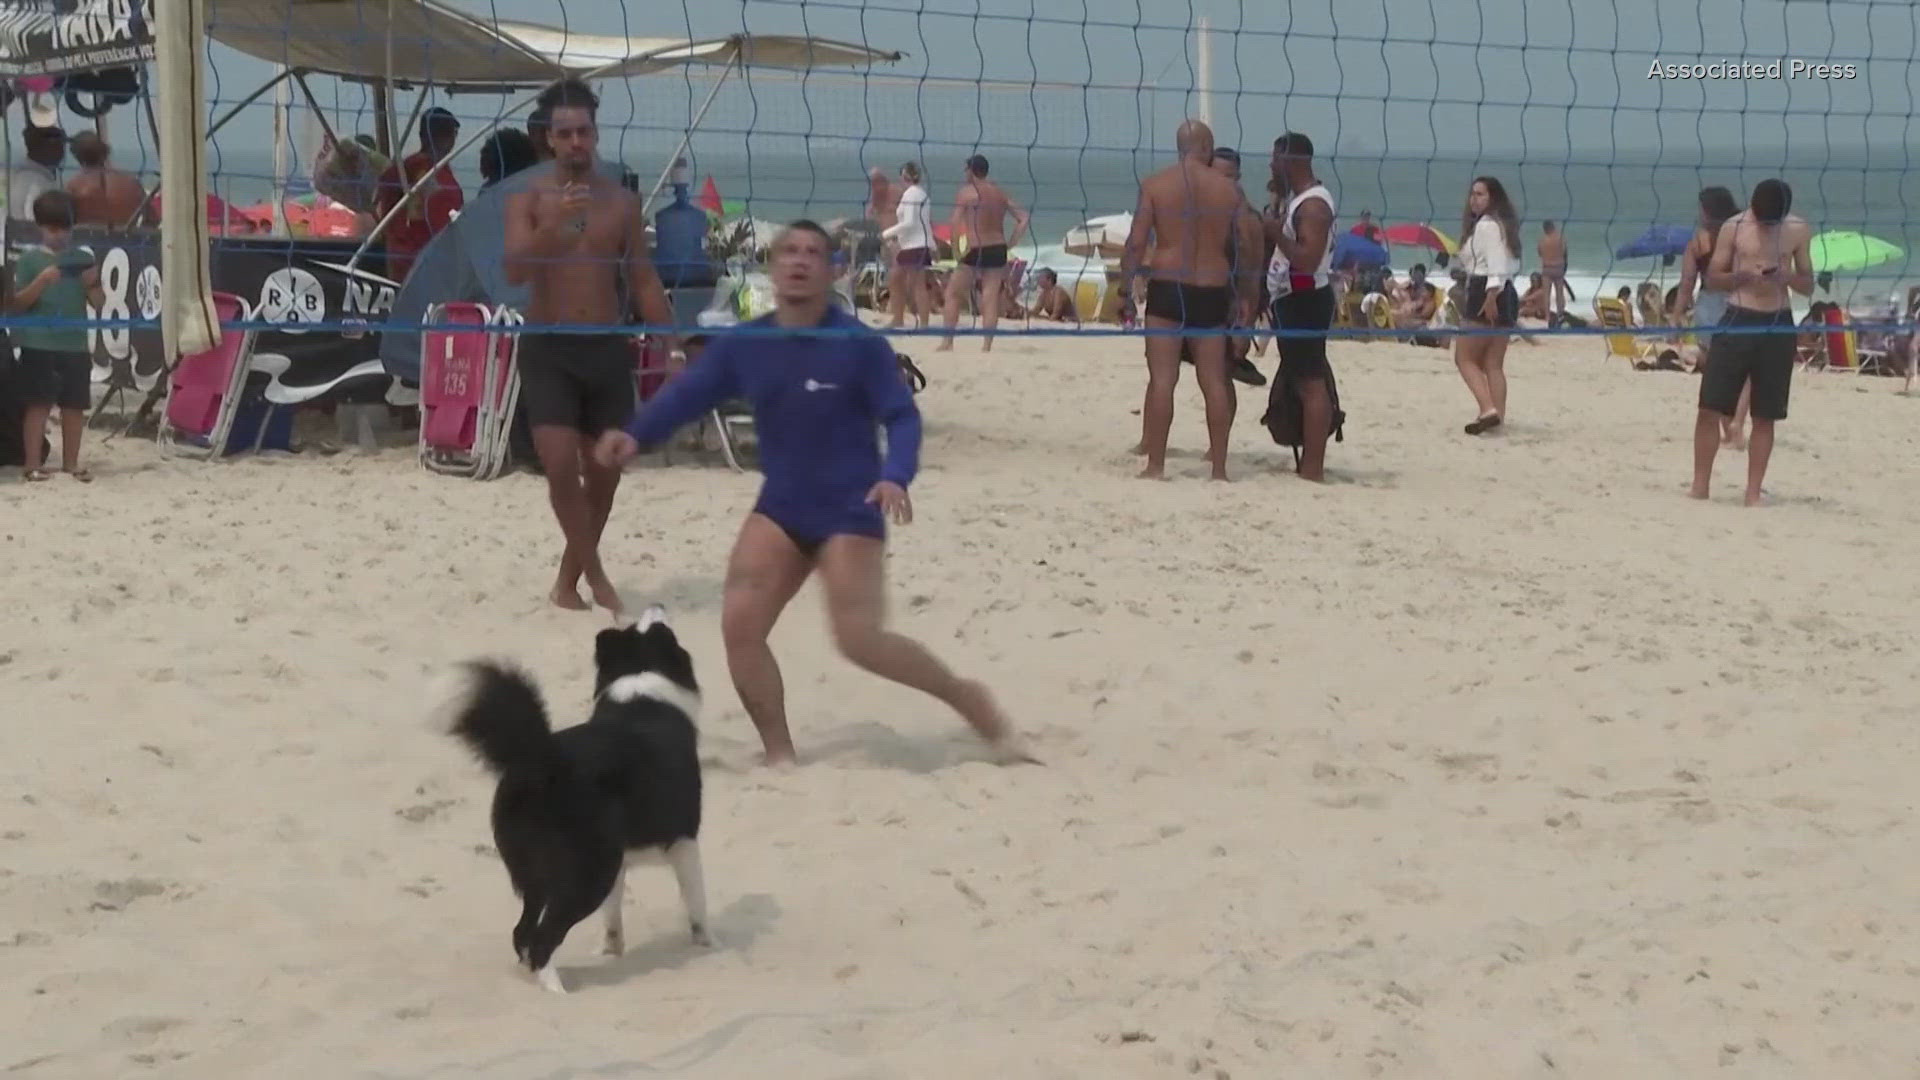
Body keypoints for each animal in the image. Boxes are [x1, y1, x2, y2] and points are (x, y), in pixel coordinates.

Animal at [432, 599, 710, 991]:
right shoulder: (684, 840)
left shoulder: (622, 861)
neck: (641, 685)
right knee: (543, 937)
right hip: (589, 873)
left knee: (523, 931)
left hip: (538, 875)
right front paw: (708, 944)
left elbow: (613, 917)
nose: (657, 604)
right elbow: (697, 903)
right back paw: (557, 990)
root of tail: (540, 762)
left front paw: (611, 951)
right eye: (659, 627)